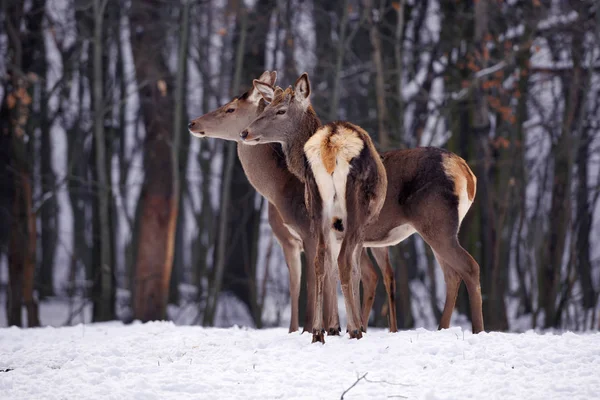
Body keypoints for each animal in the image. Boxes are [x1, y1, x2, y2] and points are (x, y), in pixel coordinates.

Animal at [186, 71, 394, 334]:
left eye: (230, 108)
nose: (193, 123)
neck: (280, 188)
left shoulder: (300, 233)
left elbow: (305, 281)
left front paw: (308, 328)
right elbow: (317, 276)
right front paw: (326, 327)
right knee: (370, 272)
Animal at [241, 72, 486, 344]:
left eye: (280, 110)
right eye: (267, 107)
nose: (245, 132)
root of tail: (467, 174)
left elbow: (346, 271)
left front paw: (339, 326)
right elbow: (349, 270)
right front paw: (344, 326)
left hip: (428, 223)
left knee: (459, 270)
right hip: (435, 223)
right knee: (462, 270)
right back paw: (467, 330)